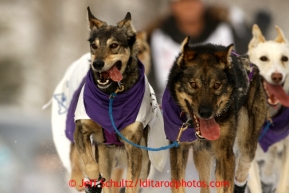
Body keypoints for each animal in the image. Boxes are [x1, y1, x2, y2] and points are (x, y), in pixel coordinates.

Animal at [163, 36, 266, 193]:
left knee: (242, 168)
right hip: (202, 155)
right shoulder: (178, 148)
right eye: (193, 84)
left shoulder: (225, 154)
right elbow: (178, 184)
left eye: (216, 85)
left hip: (246, 146)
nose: (205, 112)